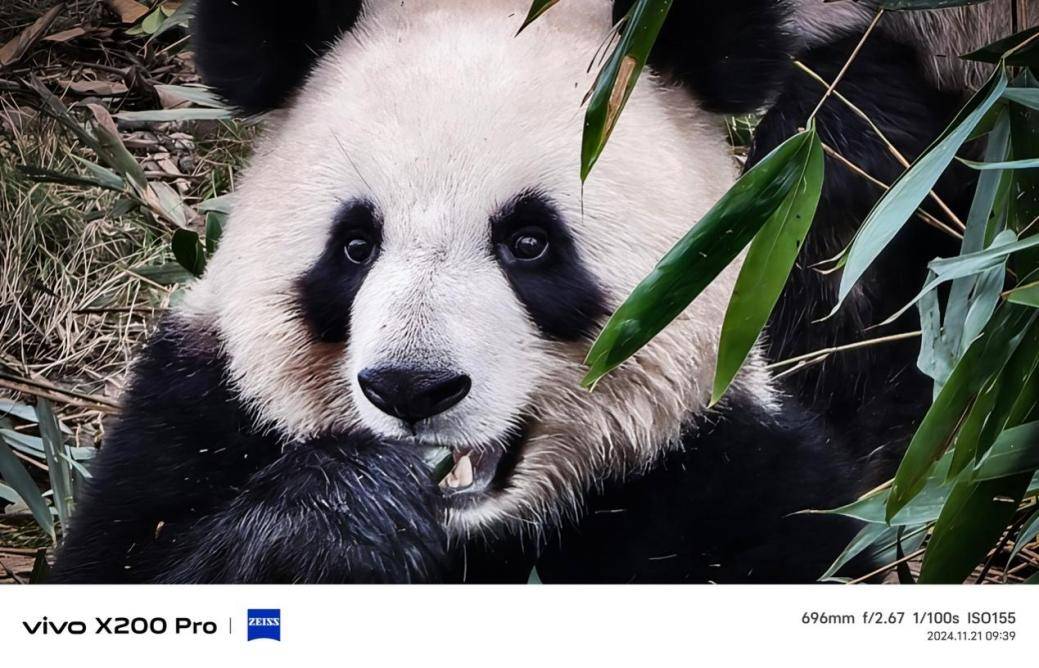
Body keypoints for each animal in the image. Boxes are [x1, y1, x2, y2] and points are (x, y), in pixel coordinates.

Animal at [50, 0, 1015, 583]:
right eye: (355, 246)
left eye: (528, 243)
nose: (412, 389)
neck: (483, 527)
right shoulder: (192, 411)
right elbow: (124, 561)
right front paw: (345, 519)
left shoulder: (739, 477)